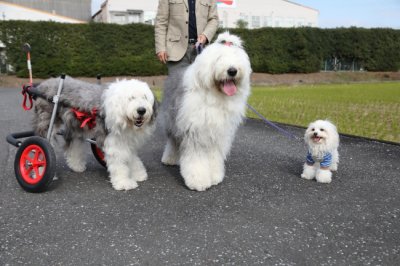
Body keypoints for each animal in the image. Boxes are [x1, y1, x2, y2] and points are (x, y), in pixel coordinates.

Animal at [160, 32, 252, 191]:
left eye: (236, 57)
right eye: (219, 58)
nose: (232, 71)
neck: (215, 96)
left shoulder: (217, 133)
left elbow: (214, 157)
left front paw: (214, 176)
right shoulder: (194, 131)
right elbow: (196, 159)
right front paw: (199, 181)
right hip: (172, 120)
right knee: (173, 142)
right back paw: (169, 159)